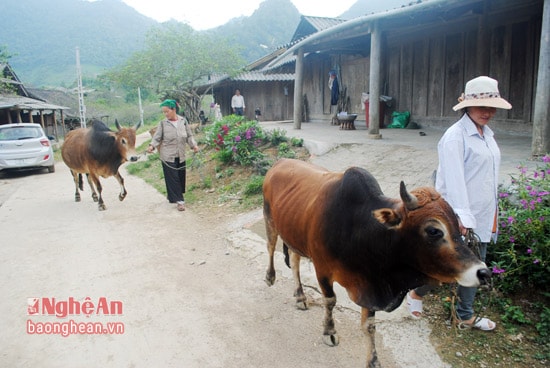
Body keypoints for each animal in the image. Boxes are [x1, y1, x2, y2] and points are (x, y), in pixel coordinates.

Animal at [264, 159, 492, 368]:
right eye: (434, 230)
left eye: (456, 225)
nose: (483, 272)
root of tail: (279, 163)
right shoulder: (323, 270)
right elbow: (330, 301)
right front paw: (329, 332)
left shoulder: (369, 284)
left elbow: (369, 326)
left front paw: (373, 360)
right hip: (270, 221)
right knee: (271, 247)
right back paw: (270, 277)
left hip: (294, 238)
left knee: (294, 262)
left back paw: (300, 297)